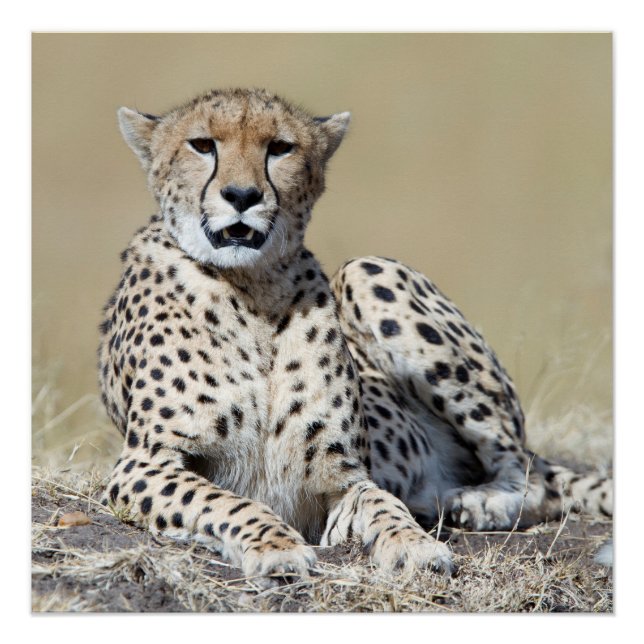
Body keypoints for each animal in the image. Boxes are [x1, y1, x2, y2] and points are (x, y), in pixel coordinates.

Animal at [98, 87, 612, 581]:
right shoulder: (143, 464)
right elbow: (224, 500)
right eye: (202, 145)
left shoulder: (345, 478)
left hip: (367, 271)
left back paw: (480, 502)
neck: (253, 288)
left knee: (531, 473)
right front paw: (275, 546)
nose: (242, 195)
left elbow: (384, 503)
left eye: (280, 148)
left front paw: (414, 545)